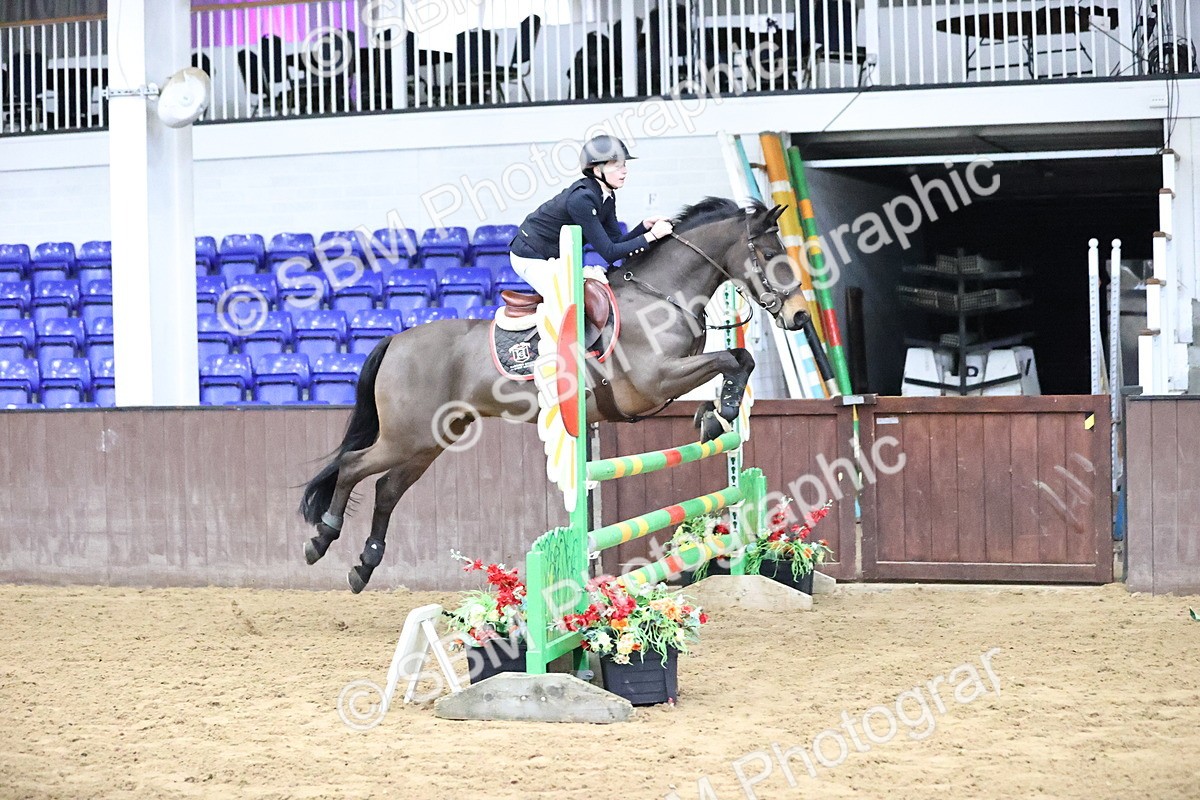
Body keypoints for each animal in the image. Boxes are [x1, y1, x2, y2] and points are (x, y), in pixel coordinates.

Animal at [299, 197, 812, 592]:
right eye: (771, 253)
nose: (801, 316)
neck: (660, 296)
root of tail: (395, 339)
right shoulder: (653, 382)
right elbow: (731, 361)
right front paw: (721, 410)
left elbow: (738, 361)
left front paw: (715, 413)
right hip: (406, 436)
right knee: (352, 467)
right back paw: (320, 539)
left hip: (431, 440)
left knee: (386, 489)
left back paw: (363, 567)